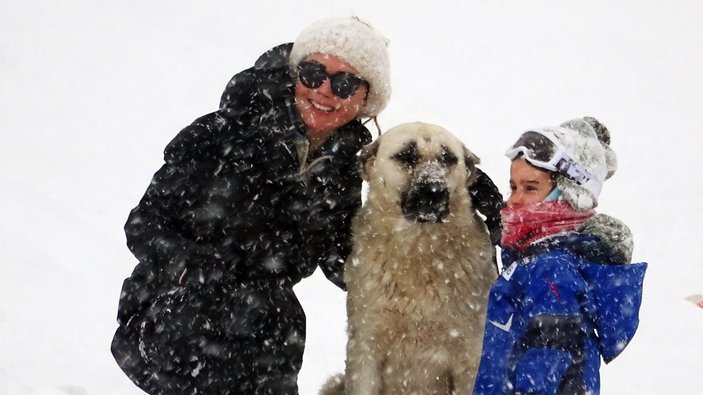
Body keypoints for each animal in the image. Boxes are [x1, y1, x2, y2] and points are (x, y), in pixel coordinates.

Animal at [322, 123, 498, 395]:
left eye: (448, 158)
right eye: (406, 156)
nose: (434, 191)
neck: (420, 252)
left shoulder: (471, 353)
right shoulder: (365, 347)